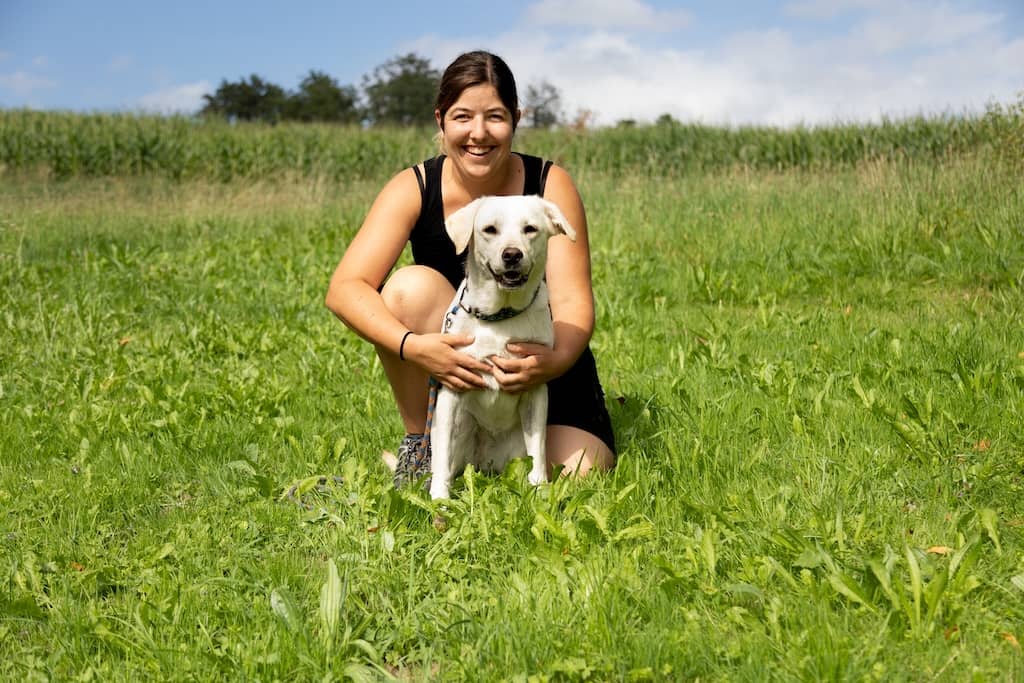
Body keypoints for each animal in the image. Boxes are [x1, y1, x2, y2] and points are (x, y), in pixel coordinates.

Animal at [428, 194, 577, 499]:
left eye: (530, 229)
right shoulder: (452, 389)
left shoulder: (535, 388)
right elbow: (442, 457)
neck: (499, 316)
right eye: (490, 229)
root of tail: (485, 463)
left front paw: (541, 492)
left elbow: (538, 452)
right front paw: (439, 499)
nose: (511, 255)